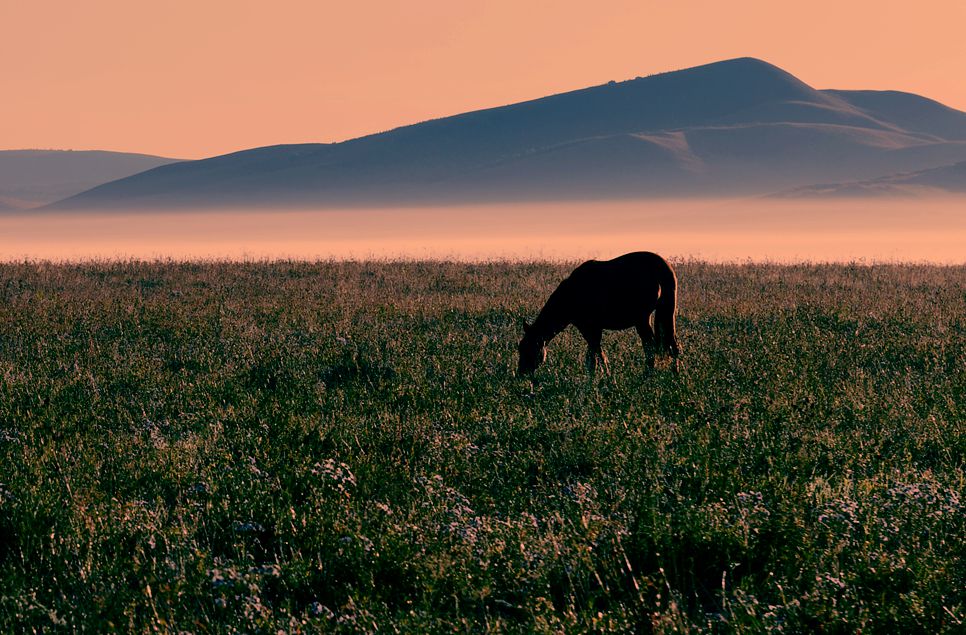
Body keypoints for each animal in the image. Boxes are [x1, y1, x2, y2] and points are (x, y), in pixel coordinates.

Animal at [520, 251, 684, 376]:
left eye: (528, 348)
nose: (521, 374)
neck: (571, 294)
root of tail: (663, 268)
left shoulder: (589, 328)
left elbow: (597, 355)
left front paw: (606, 379)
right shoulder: (593, 329)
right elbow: (592, 357)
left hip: (642, 319)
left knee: (651, 347)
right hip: (666, 313)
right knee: (671, 345)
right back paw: (675, 376)